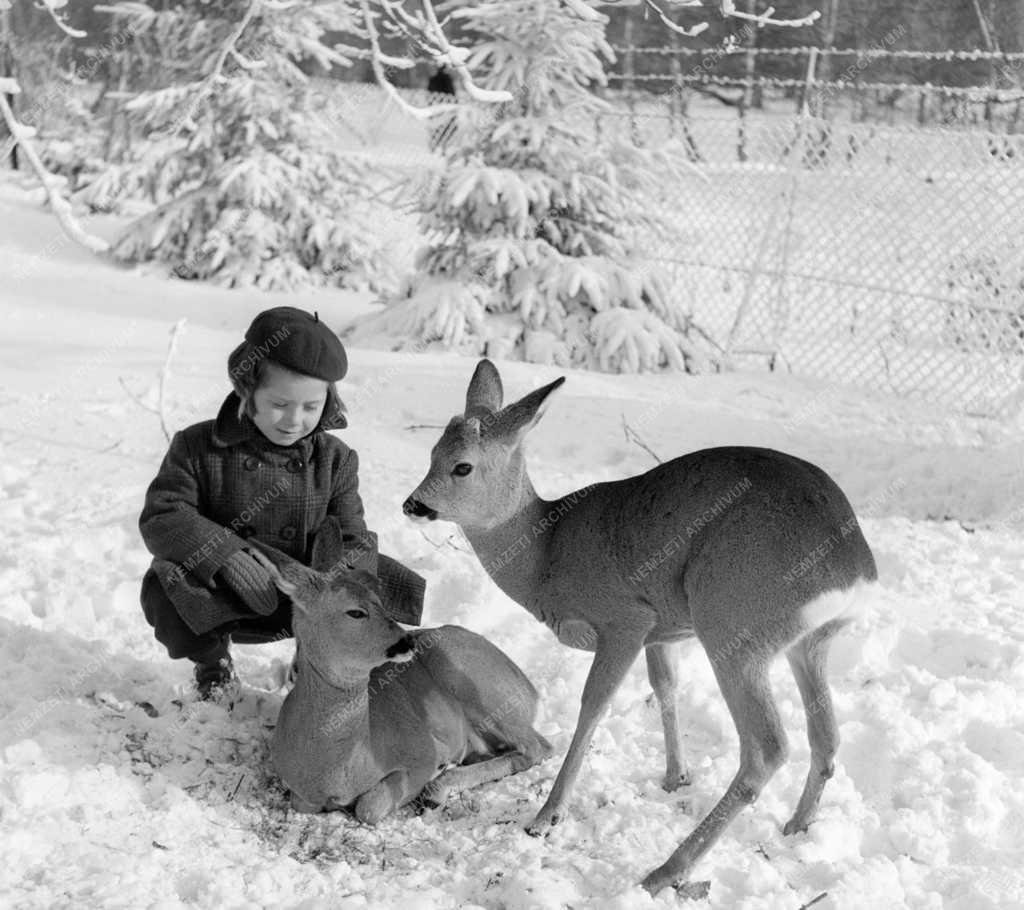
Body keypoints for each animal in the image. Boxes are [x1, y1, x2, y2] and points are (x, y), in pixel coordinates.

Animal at [254, 548, 557, 822]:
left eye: (380, 602)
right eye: (355, 612)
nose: (407, 640)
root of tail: (530, 689)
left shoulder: (419, 753)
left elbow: (369, 807)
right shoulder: (299, 791)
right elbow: (303, 803)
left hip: (471, 678)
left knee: (539, 747)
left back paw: (439, 788)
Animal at [403, 356, 876, 896]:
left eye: (462, 466)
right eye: (433, 452)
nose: (412, 504)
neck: (545, 553)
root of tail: (853, 570)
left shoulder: (625, 618)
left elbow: (594, 705)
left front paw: (547, 816)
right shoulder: (660, 629)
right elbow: (665, 686)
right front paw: (675, 777)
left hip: (733, 621)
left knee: (768, 747)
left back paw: (666, 871)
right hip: (808, 642)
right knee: (826, 735)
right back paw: (797, 825)